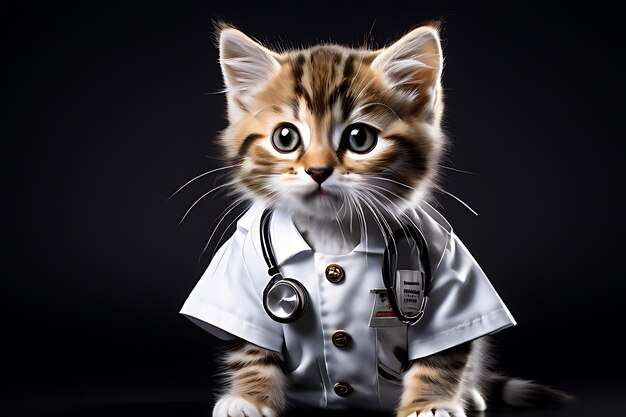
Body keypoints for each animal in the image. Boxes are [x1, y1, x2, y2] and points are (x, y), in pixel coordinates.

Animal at [182, 23, 572, 416]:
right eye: (285, 137)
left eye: (359, 138)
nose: (318, 170)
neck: (332, 230)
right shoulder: (238, 270)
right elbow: (249, 347)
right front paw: (250, 397)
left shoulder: (446, 258)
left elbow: (445, 350)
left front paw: (431, 402)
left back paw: (471, 394)